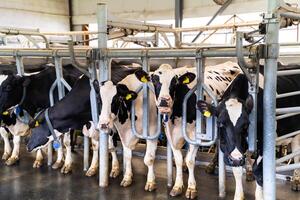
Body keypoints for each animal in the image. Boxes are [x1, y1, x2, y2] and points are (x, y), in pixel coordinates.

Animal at [135, 61, 243, 198]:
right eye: (154, 80)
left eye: (175, 82)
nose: (164, 101)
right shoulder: (170, 133)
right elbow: (178, 160)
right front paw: (177, 186)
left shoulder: (195, 134)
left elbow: (190, 161)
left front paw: (191, 188)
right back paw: (211, 166)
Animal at [198, 69, 300, 198]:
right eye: (220, 123)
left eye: (246, 124)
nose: (236, 159)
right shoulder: (233, 151)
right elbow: (237, 170)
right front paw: (238, 196)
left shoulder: (264, 143)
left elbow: (259, 171)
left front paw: (260, 196)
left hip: (297, 134)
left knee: (296, 156)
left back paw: (296, 181)